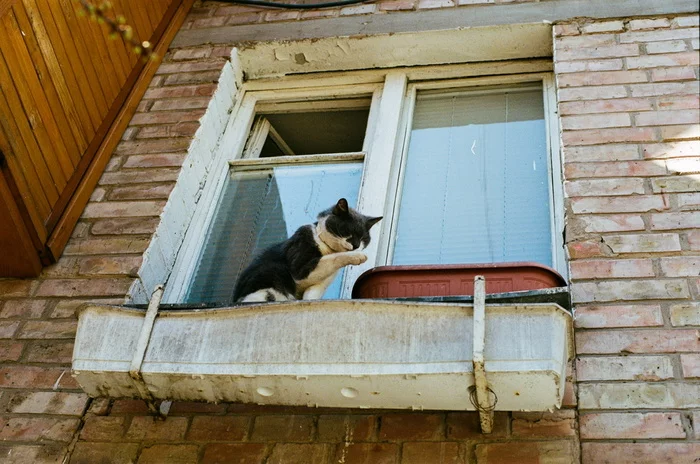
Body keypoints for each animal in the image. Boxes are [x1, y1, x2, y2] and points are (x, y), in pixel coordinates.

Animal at [232, 198, 380, 302]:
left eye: (364, 238)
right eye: (347, 230)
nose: (356, 245)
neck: (327, 248)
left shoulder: (318, 285)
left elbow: (311, 296)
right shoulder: (300, 267)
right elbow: (331, 259)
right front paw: (358, 256)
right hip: (274, 272)